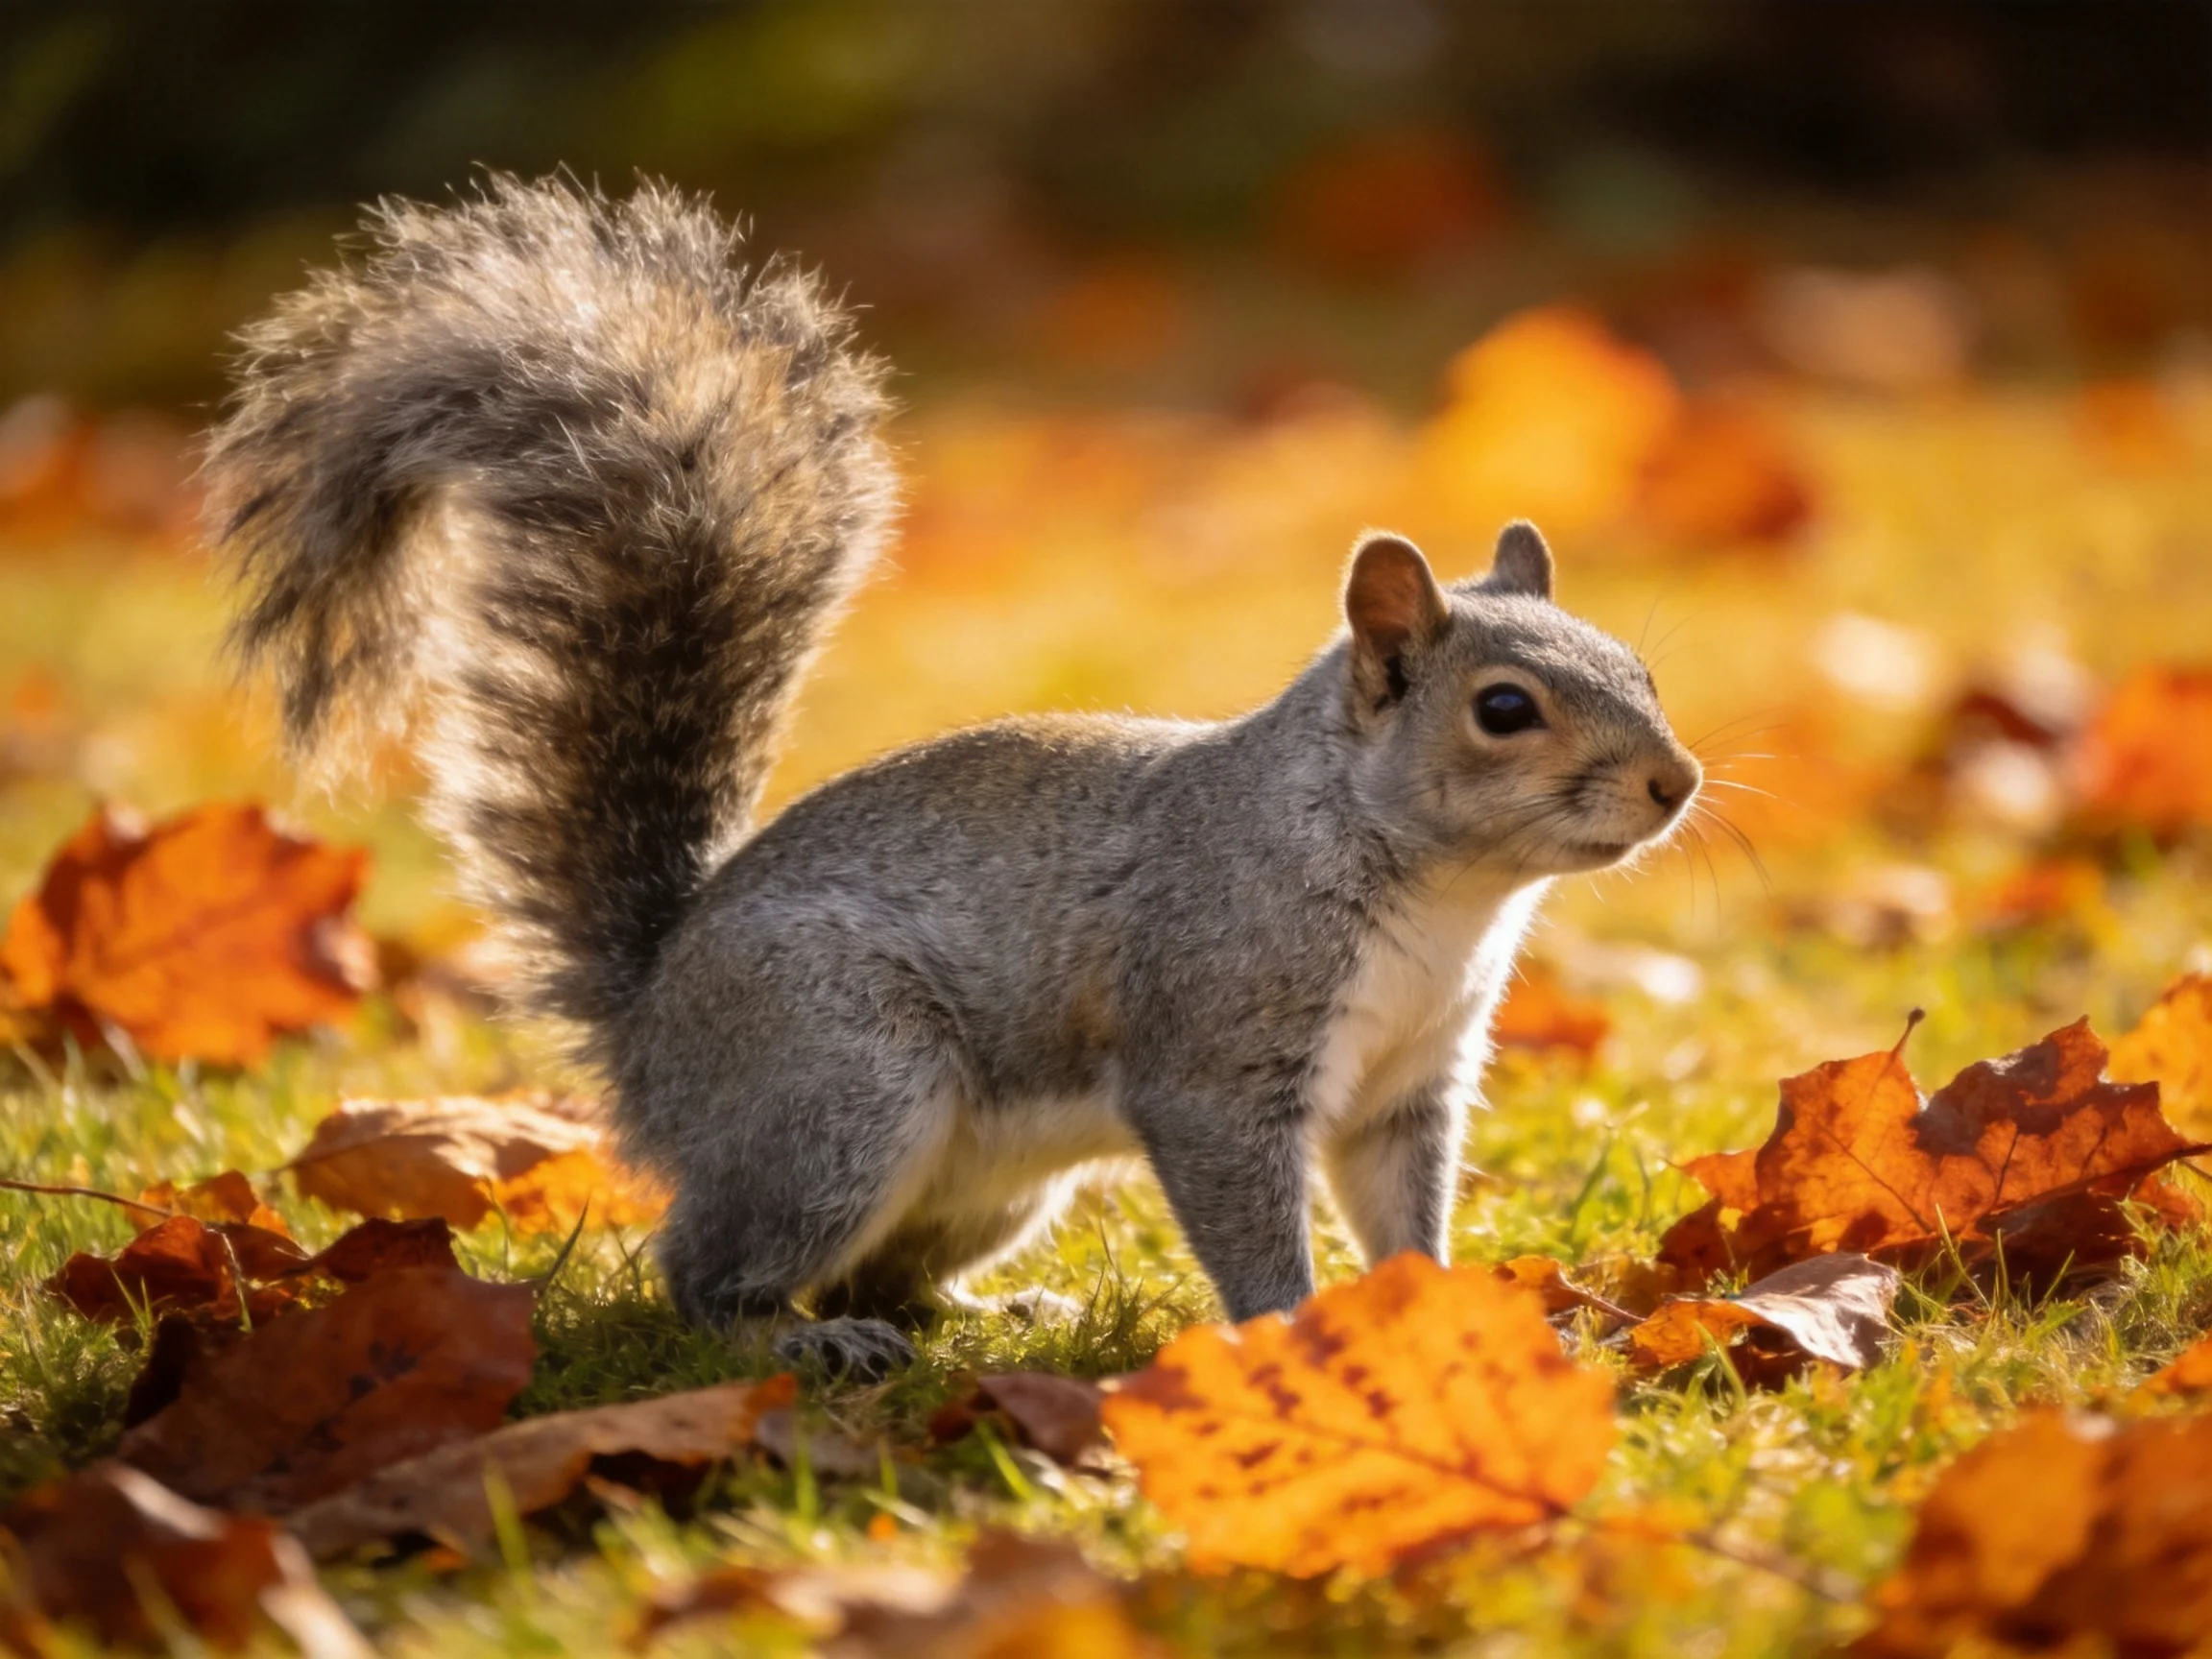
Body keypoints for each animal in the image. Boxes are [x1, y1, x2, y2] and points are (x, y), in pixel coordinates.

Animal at [205, 176, 1701, 1379]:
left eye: (1642, 667)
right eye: (1503, 710)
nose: (1674, 784)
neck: (1436, 892)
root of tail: (649, 1026)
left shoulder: (1410, 1084)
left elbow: (1406, 1215)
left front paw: (1440, 1315)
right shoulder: (1220, 1044)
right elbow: (1245, 1206)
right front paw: (1295, 1333)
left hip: (986, 1178)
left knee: (889, 1271)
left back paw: (999, 1315)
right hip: (840, 1085)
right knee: (712, 1271)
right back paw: (798, 1341)